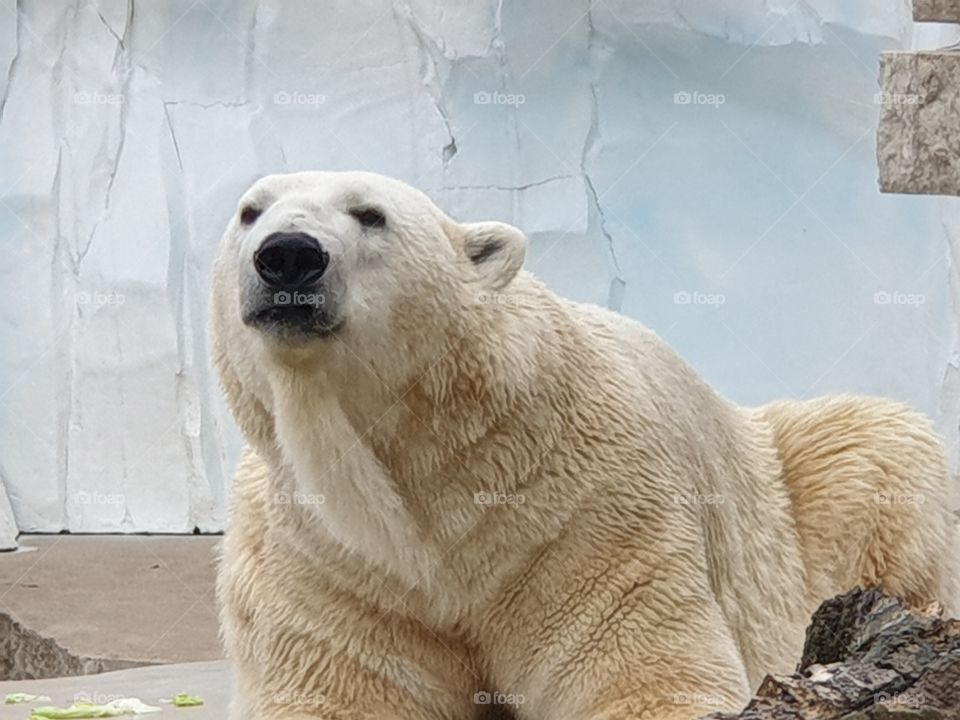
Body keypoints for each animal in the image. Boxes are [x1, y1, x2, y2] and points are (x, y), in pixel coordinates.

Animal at [211, 171, 958, 720]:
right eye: (251, 211)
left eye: (370, 214)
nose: (289, 255)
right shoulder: (327, 555)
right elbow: (341, 691)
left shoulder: (576, 509)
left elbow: (637, 672)